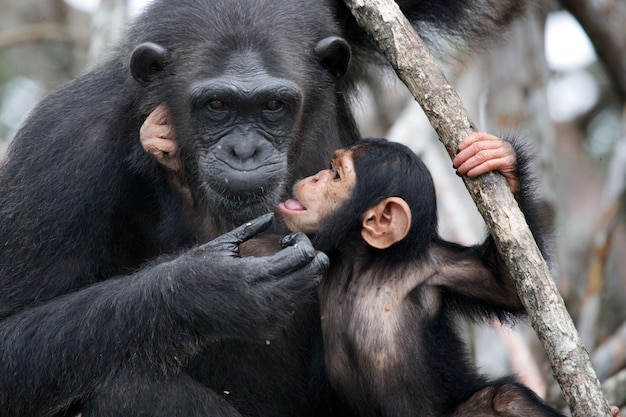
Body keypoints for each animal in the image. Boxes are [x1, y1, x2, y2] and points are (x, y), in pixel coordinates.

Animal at [0, 0, 520, 416]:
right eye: (216, 105)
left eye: (273, 105)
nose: (245, 150)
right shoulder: (62, 147)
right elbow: (13, 335)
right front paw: (211, 289)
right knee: (126, 389)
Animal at [276, 133, 564, 416]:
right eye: (329, 168)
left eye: (336, 175)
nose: (315, 177)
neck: (364, 263)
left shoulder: (439, 267)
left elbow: (506, 286)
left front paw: (497, 158)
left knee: (507, 399)